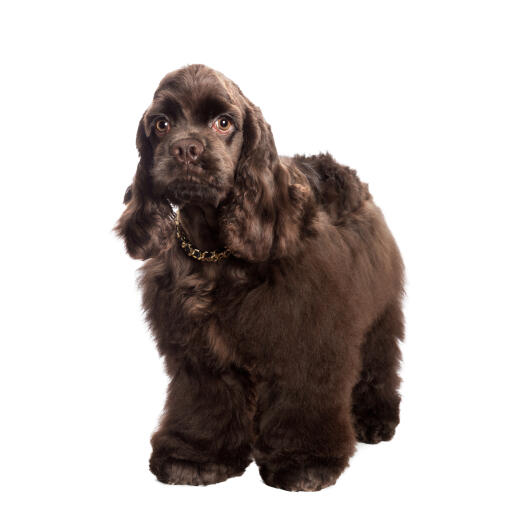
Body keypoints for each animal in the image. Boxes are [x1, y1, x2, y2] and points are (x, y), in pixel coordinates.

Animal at [115, 64, 404, 492]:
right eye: (161, 124)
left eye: (223, 123)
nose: (186, 149)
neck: (214, 250)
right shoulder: (199, 350)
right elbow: (206, 403)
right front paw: (196, 457)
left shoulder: (306, 337)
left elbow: (303, 401)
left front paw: (303, 463)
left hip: (378, 309)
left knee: (378, 362)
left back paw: (373, 419)